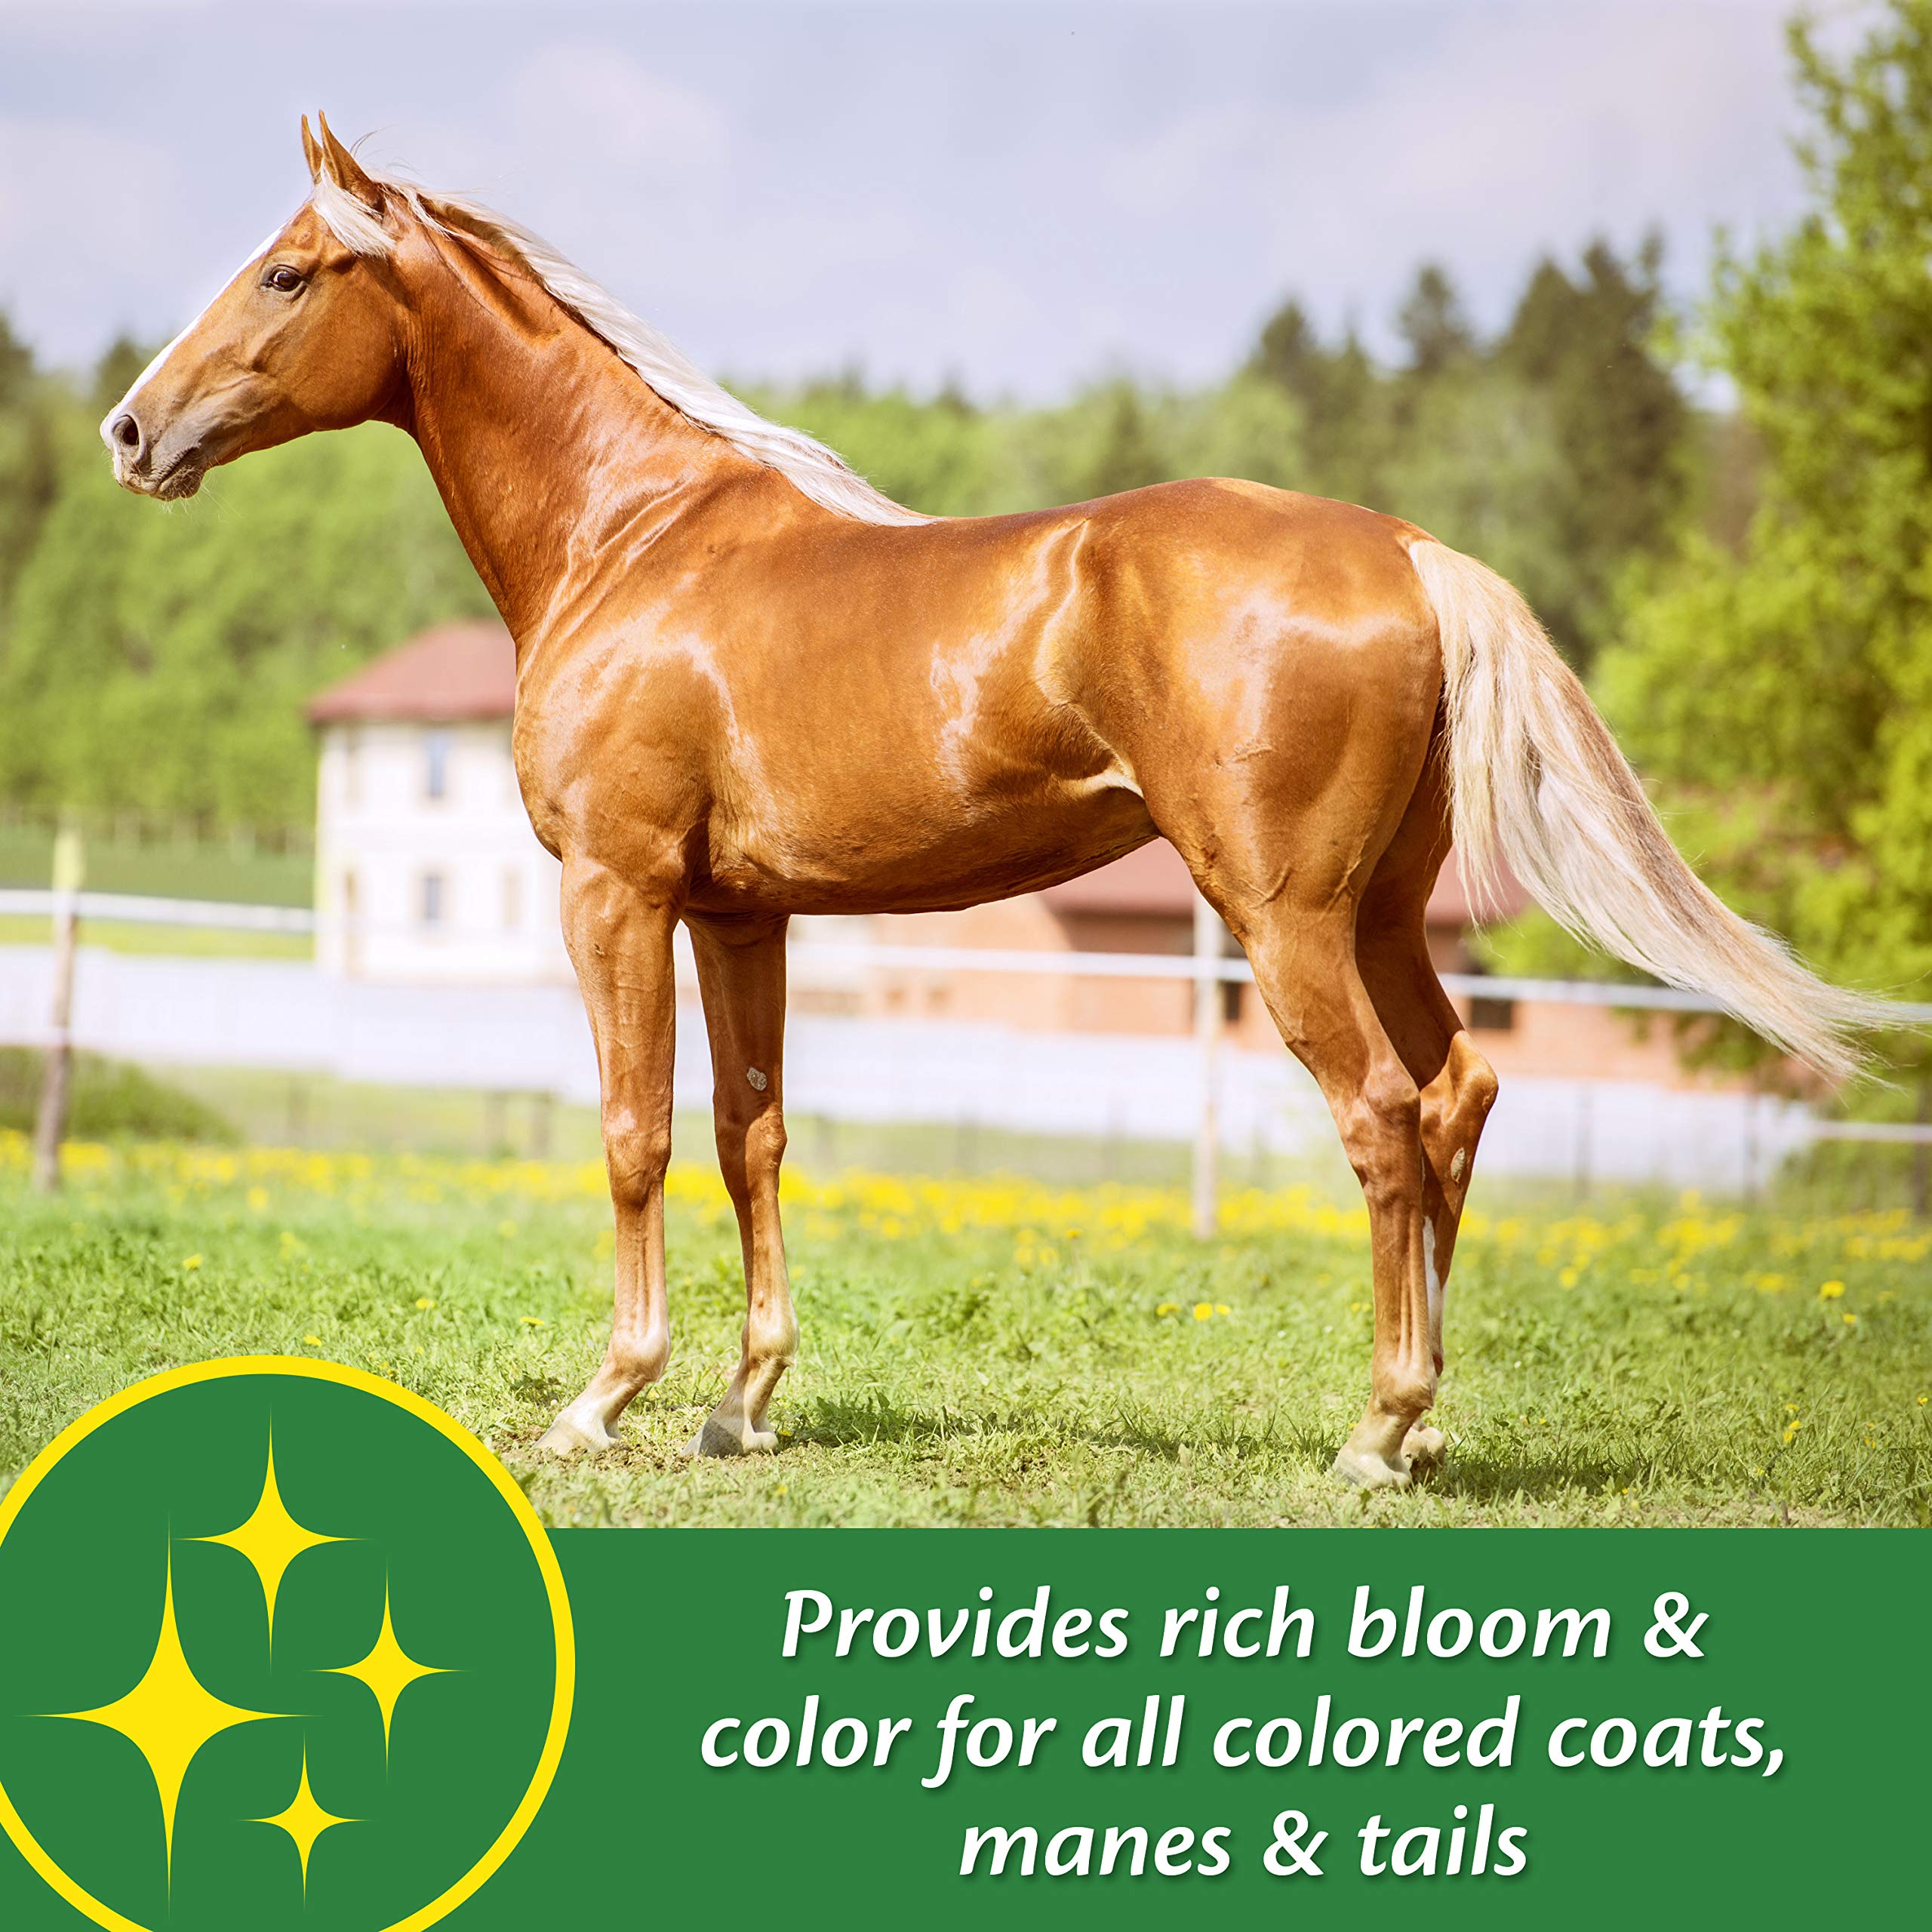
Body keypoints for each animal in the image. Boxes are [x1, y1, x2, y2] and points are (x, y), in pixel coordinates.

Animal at [101, 116, 1885, 1488]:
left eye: (285, 271)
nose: (130, 428)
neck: (633, 535)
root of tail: (1402, 550)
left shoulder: (615, 887)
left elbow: (633, 1132)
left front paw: (603, 1400)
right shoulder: (740, 911)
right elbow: (750, 1135)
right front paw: (743, 1406)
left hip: (1283, 918)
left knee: (1382, 1118)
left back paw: (1375, 1434)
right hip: (1381, 911)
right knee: (1455, 1097)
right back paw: (1431, 1427)